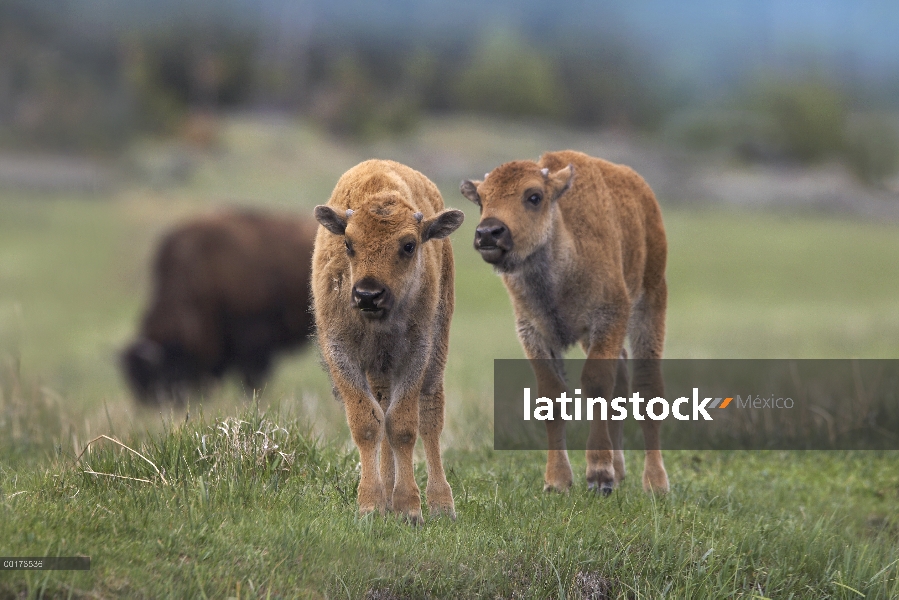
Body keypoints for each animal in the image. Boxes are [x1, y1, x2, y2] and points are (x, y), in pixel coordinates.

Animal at [312, 158, 464, 520]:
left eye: (408, 245)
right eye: (348, 243)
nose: (368, 295)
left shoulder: (415, 354)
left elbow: (403, 427)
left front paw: (409, 508)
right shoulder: (341, 353)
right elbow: (368, 424)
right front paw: (371, 504)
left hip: (437, 349)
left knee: (430, 416)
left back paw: (441, 503)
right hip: (380, 369)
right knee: (382, 411)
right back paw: (388, 495)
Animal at [464, 151, 668, 496]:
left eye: (534, 196)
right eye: (482, 199)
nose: (489, 233)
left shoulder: (610, 316)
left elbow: (596, 383)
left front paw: (599, 476)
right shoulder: (534, 332)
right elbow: (552, 395)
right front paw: (557, 481)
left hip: (650, 301)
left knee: (646, 386)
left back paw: (655, 483)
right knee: (622, 378)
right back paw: (621, 470)